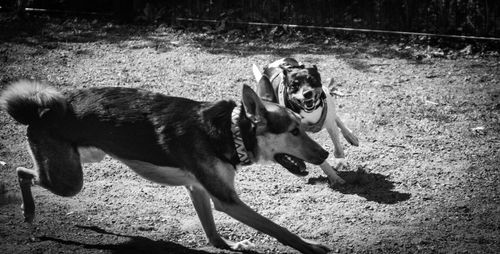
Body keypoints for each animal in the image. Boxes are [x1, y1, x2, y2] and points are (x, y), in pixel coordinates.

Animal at [0, 80, 332, 254]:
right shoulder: (226, 200)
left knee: (28, 171)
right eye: (293, 131)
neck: (230, 131)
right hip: (69, 182)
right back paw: (27, 211)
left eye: (302, 127)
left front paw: (230, 245)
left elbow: (212, 233)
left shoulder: (198, 189)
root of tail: (41, 112)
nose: (326, 153)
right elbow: (278, 228)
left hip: (84, 161)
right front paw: (311, 246)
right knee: (22, 172)